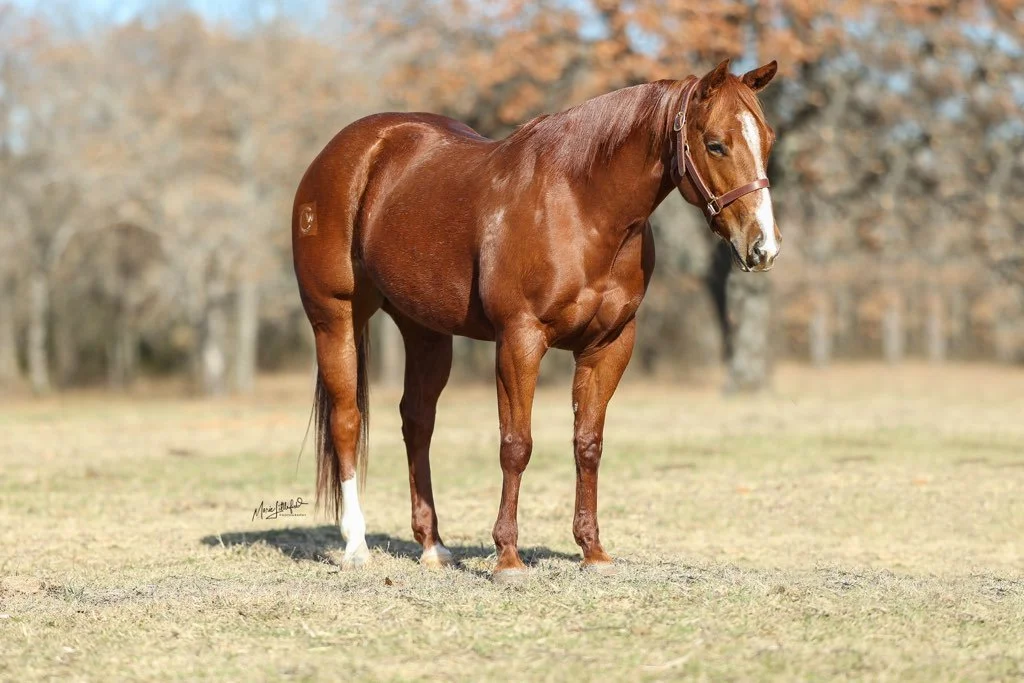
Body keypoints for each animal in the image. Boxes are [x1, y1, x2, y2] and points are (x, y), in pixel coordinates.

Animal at [292, 58, 781, 582]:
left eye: (768, 139)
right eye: (715, 143)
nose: (764, 247)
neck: (582, 206)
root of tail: (349, 150)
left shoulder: (609, 345)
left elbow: (588, 443)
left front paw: (593, 551)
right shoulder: (519, 340)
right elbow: (516, 445)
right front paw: (508, 558)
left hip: (425, 331)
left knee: (417, 423)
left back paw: (433, 545)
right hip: (335, 319)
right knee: (347, 421)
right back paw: (356, 545)